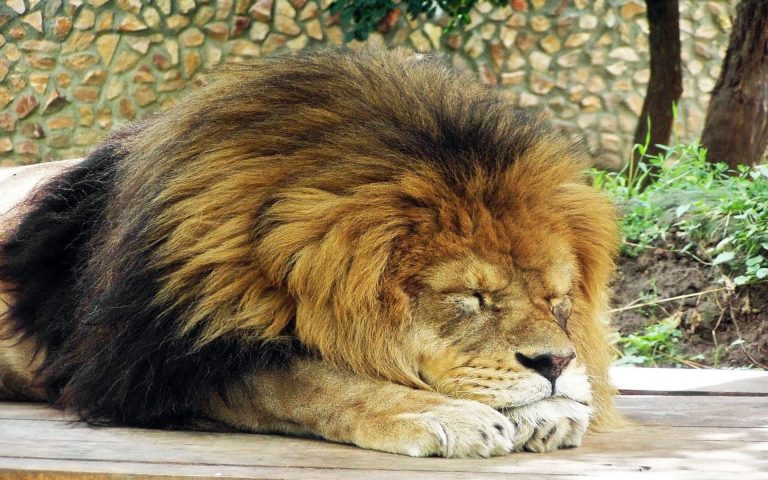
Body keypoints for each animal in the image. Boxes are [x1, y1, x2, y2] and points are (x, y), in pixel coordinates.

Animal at [0, 48, 619, 458]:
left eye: (557, 299)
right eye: (470, 296)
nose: (555, 364)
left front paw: (557, 405)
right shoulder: (160, 362)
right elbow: (310, 380)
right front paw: (440, 413)